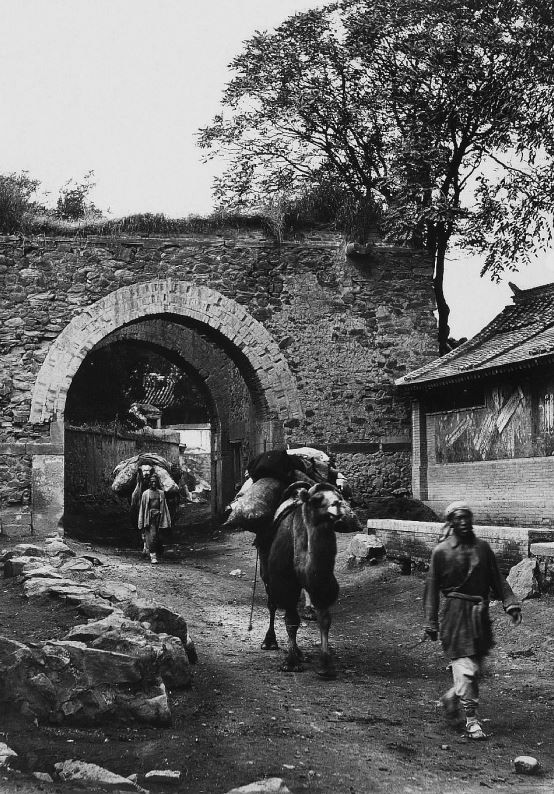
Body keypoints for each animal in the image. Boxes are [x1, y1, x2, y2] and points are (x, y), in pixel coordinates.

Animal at [258, 480, 360, 676]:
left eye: (339, 496)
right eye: (316, 500)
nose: (337, 505)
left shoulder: (324, 585)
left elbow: (325, 619)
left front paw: (326, 665)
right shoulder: (285, 583)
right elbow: (291, 621)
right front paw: (290, 662)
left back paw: (300, 651)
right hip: (266, 571)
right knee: (272, 604)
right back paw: (269, 642)